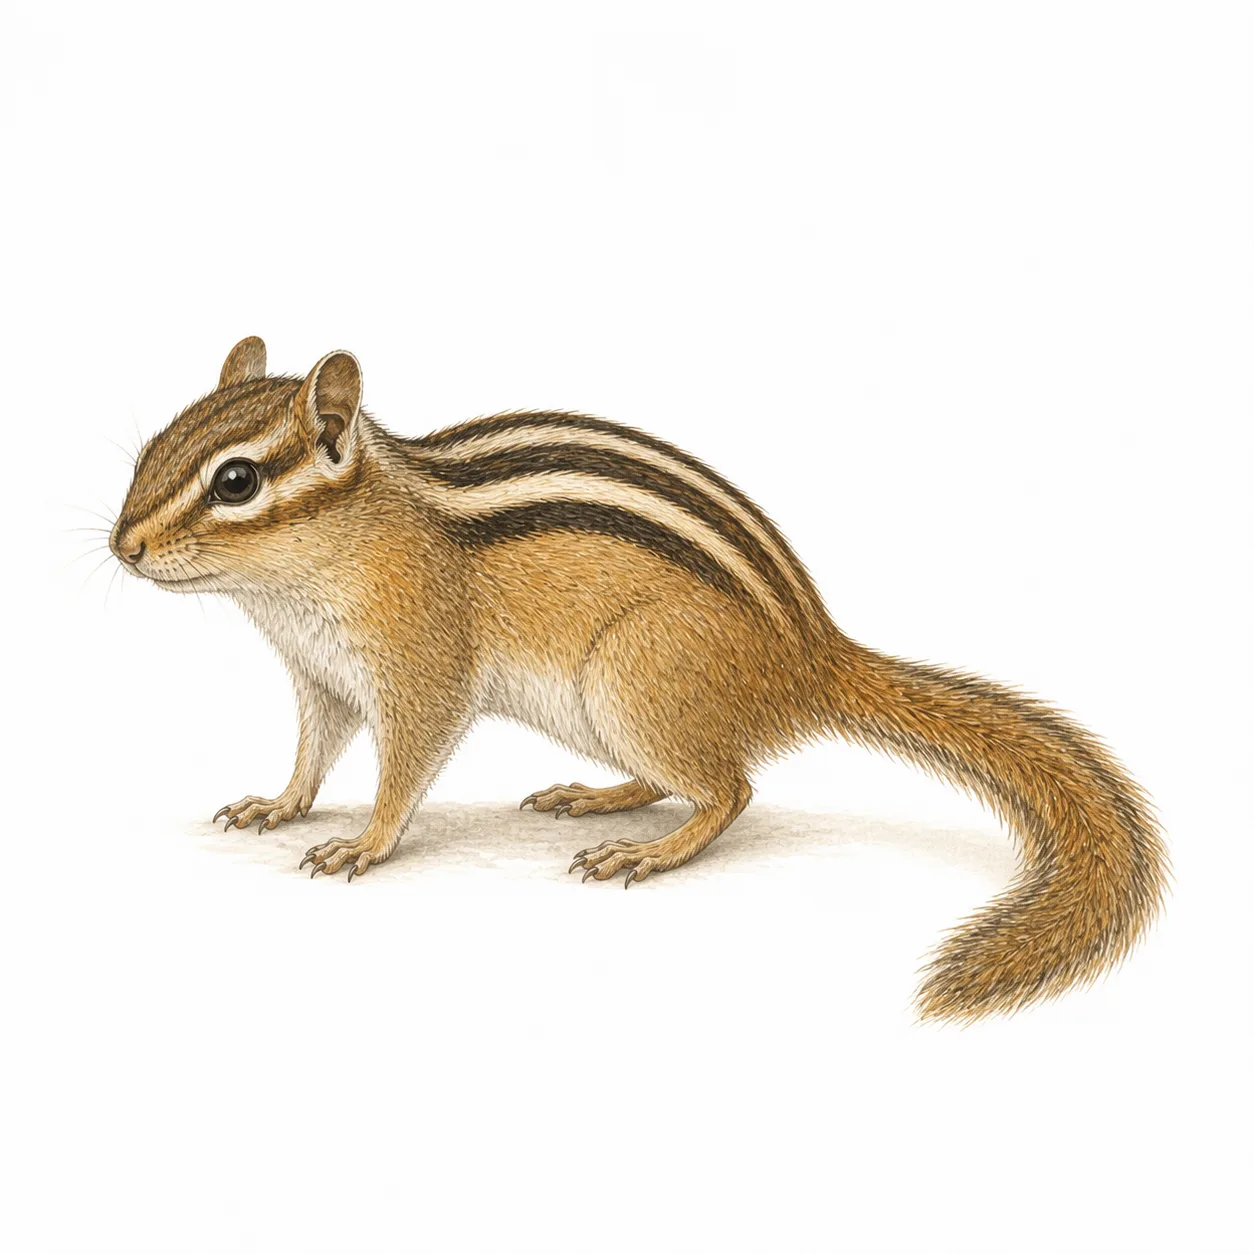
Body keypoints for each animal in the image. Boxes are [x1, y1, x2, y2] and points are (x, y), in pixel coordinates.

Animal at [110, 337, 1168, 1023]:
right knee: (677, 778)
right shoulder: (321, 676)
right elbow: (312, 753)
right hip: (605, 709)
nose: (123, 547)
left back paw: (649, 853)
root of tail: (811, 659)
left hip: (634, 676)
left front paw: (362, 844)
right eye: (150, 449)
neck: (321, 563)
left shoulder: (421, 665)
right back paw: (596, 798)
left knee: (730, 789)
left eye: (236, 482)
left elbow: (405, 765)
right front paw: (279, 804)